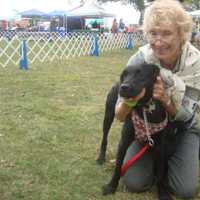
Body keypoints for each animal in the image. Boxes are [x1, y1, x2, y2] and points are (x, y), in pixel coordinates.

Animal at [96, 63, 180, 200]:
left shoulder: (160, 147)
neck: (146, 107)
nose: (124, 87)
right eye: (124, 74)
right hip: (108, 115)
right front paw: (111, 187)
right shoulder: (123, 142)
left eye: (140, 73)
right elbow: (118, 167)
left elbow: (160, 173)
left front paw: (163, 193)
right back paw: (101, 158)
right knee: (104, 138)